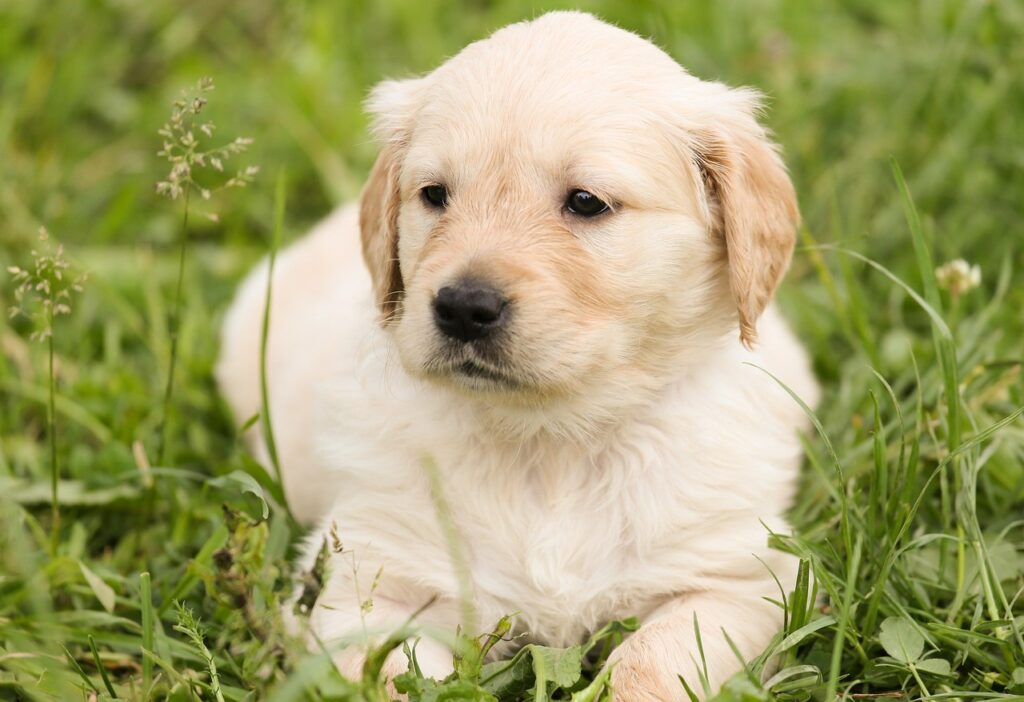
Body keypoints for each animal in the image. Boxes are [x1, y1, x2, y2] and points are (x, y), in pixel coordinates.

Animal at [216, 12, 815, 702]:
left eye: (586, 202)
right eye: (434, 195)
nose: (461, 306)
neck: (550, 445)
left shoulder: (739, 578)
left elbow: (649, 663)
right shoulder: (367, 584)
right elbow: (395, 677)